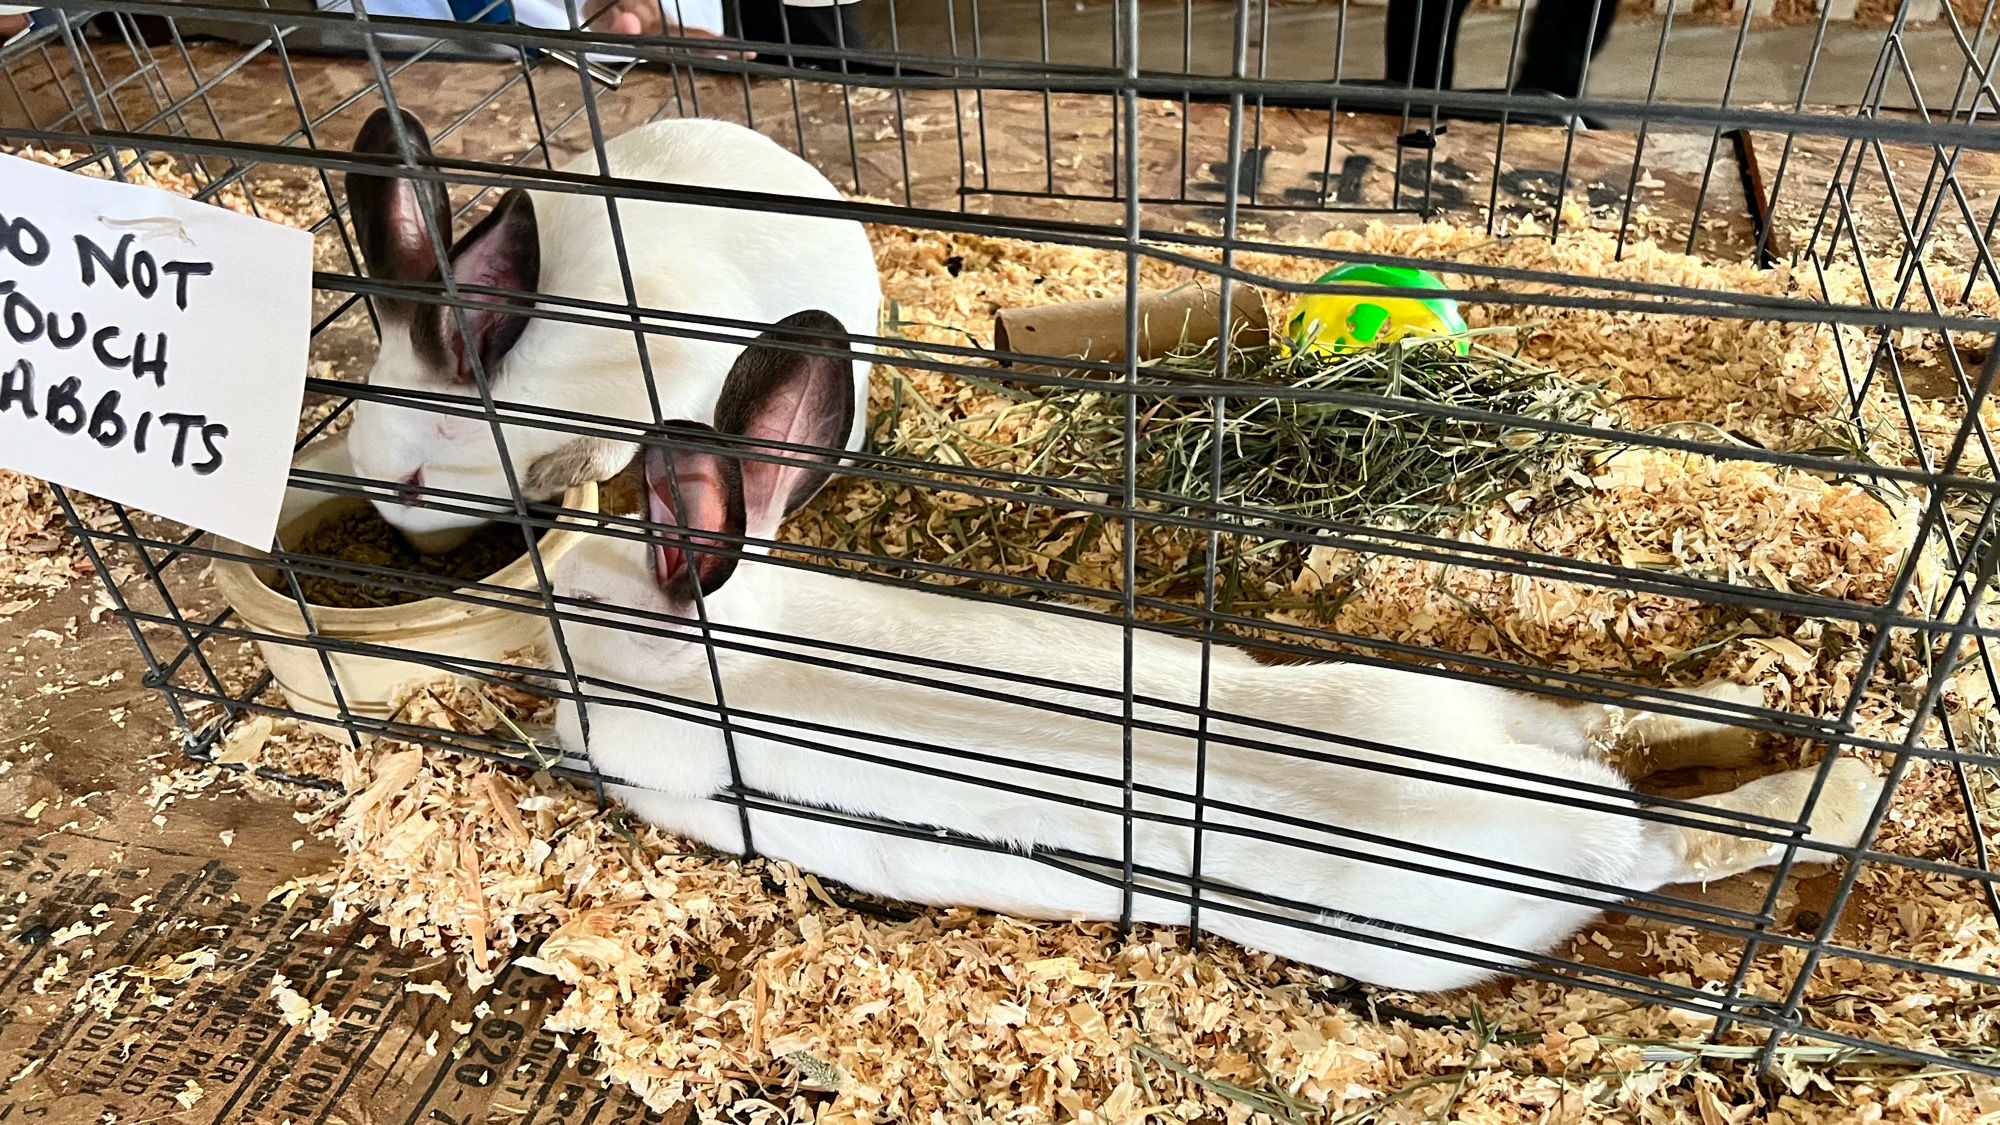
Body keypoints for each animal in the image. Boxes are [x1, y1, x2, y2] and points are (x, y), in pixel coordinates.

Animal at [540, 310, 1880, 984]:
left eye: (566, 618)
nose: (544, 703)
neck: (721, 655)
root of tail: (1577, 811)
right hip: (1484, 709)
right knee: (1639, 732)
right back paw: (1797, 720)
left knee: (1688, 844)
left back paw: (1839, 791)